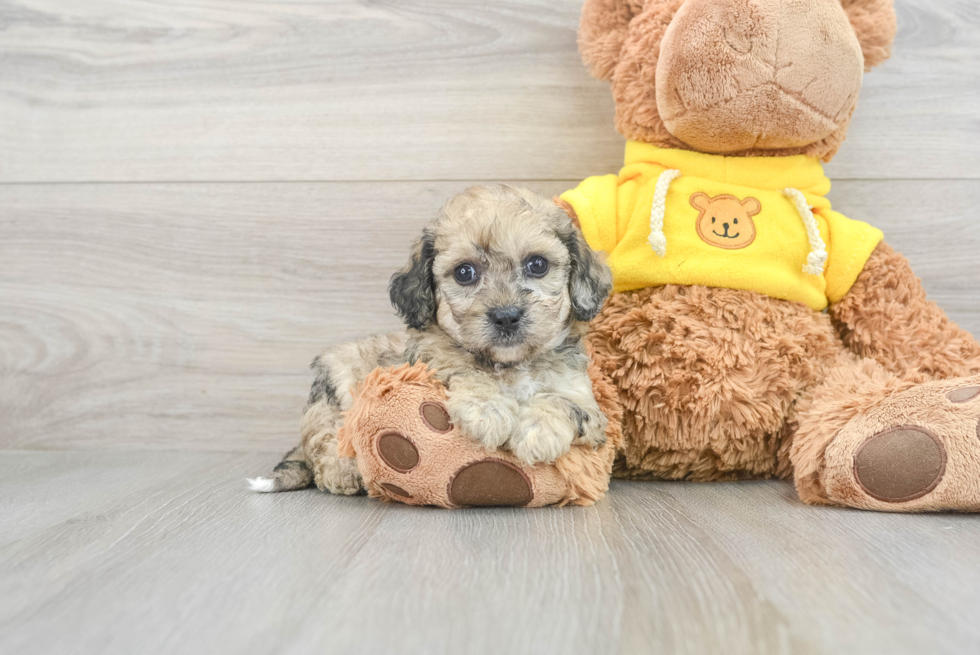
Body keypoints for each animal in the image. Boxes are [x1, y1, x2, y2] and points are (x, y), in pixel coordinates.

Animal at [249, 183, 608, 492]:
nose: (506, 316)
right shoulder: (430, 365)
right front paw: (487, 410)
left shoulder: (587, 405)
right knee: (324, 445)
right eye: (465, 272)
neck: (509, 366)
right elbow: (465, 370)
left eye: (538, 265)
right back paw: (345, 471)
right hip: (334, 389)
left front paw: (538, 431)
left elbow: (562, 401)